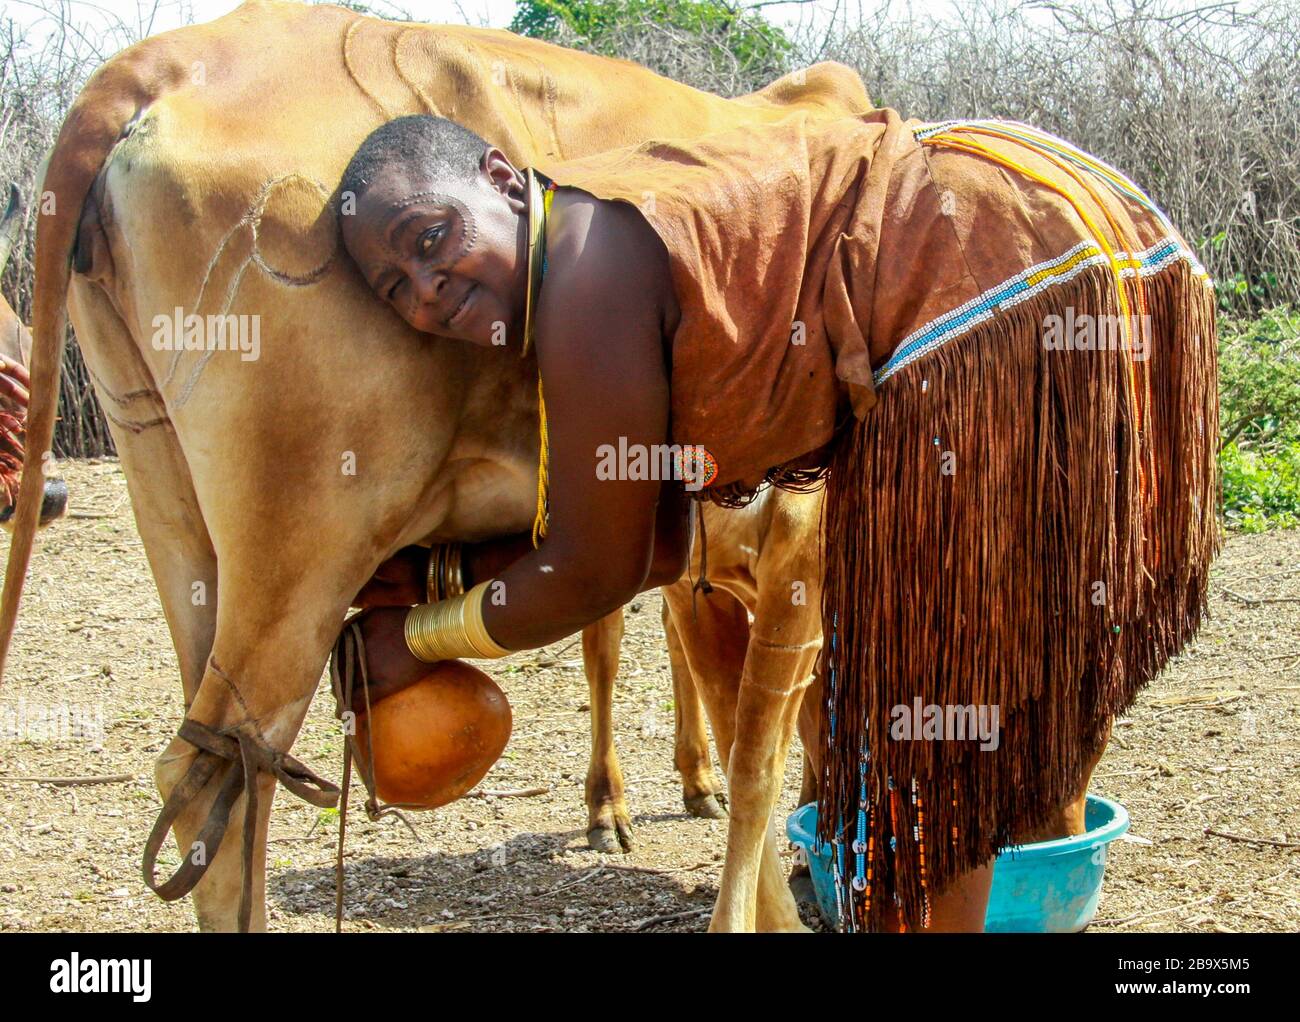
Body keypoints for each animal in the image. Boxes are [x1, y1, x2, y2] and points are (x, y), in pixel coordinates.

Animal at [0, 0, 878, 925]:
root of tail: (161, 61)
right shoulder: (794, 549)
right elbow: (758, 759)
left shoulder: (705, 566)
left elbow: (738, 718)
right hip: (302, 551)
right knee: (220, 777)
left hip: (172, 510)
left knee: (212, 765)